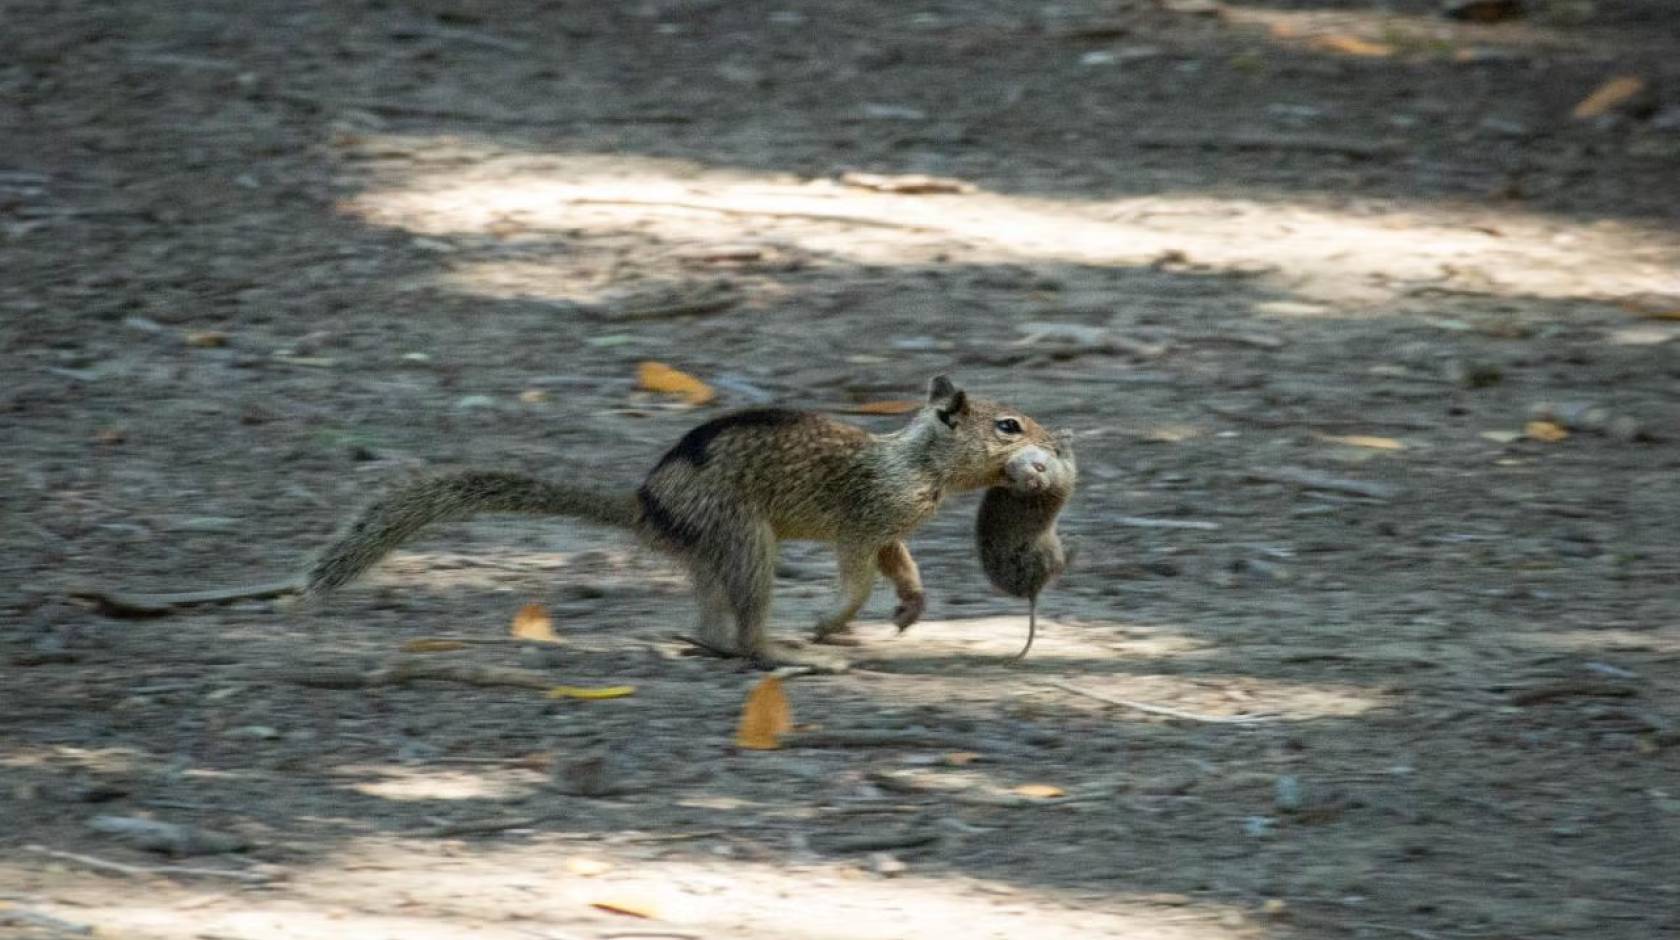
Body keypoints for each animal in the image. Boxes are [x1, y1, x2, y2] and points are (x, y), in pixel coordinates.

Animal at [305, 374, 1048, 668]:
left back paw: (709, 642)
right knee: (745, 629)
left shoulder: (890, 529)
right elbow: (860, 576)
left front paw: (910, 608)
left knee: (713, 623)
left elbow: (903, 565)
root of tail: (645, 504)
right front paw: (832, 620)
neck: (918, 461)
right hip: (745, 539)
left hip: (714, 552)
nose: (1054, 441)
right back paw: (784, 650)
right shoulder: (864, 521)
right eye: (1009, 425)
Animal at [974, 429, 1075, 658]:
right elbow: (1070, 463)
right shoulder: (1065, 476)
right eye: (1013, 477)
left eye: (1039, 467)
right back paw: (1073, 544)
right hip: (1050, 551)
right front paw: (1063, 438)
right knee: (1060, 566)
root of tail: (1032, 591)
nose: (1035, 483)